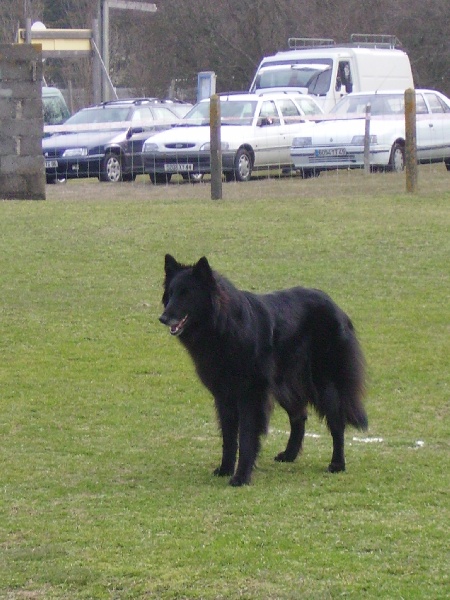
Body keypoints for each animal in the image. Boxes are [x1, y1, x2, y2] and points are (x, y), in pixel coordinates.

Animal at [159, 254, 367, 486]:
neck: (224, 326)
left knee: (336, 421)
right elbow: (228, 438)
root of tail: (336, 307)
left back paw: (337, 464)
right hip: (285, 386)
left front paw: (241, 476)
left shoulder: (250, 396)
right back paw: (289, 455)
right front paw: (225, 469)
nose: (163, 318)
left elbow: (246, 437)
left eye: (186, 294)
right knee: (299, 416)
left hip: (324, 384)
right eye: (171, 294)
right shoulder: (224, 397)